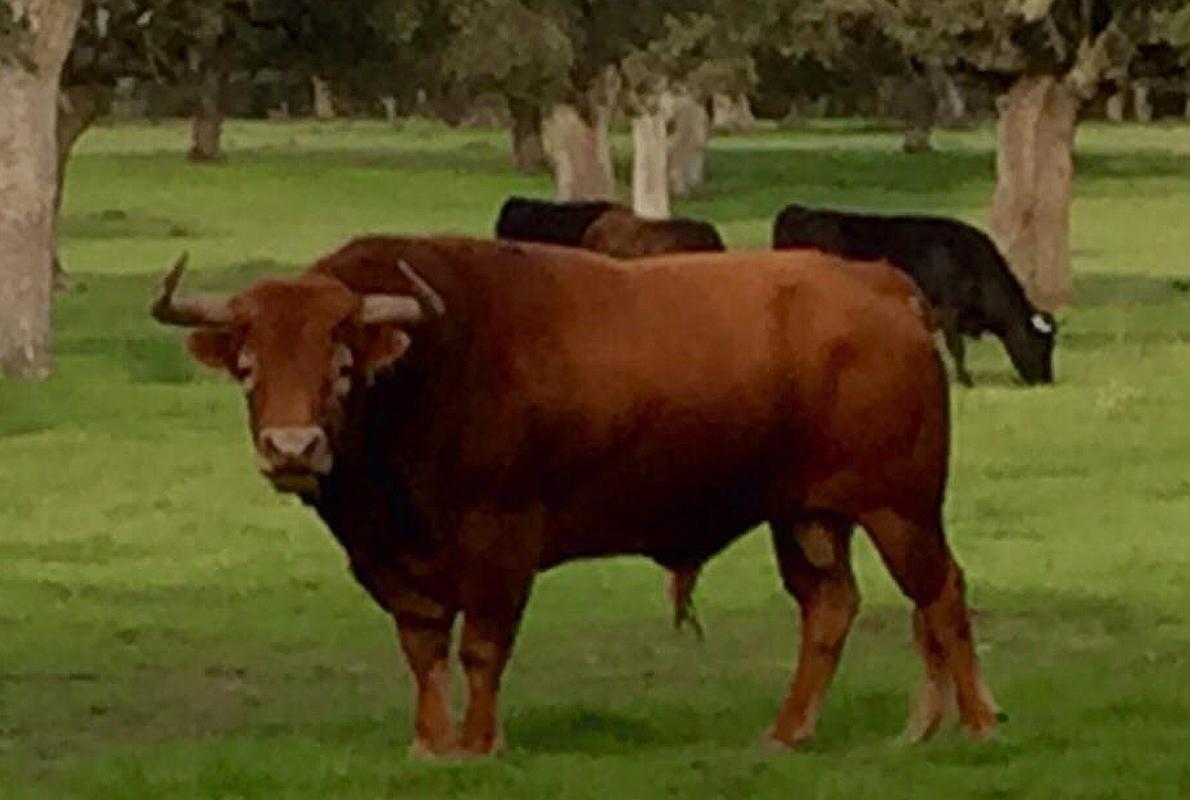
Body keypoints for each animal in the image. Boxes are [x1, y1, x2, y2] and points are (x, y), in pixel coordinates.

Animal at [153, 238, 999, 757]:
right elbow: (423, 650)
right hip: (806, 517)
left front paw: (479, 745)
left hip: (901, 510)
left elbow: (482, 648)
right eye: (249, 367)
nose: (292, 449)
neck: (425, 370)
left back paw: (974, 723)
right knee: (830, 608)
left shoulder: (501, 545)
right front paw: (430, 743)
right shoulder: (393, 564)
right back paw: (794, 732)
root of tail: (878, 282)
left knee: (942, 597)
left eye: (340, 366)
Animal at [775, 201, 1056, 385]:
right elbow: (957, 348)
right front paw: (965, 380)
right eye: (1041, 344)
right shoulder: (948, 311)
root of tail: (798, 210)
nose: (1046, 380)